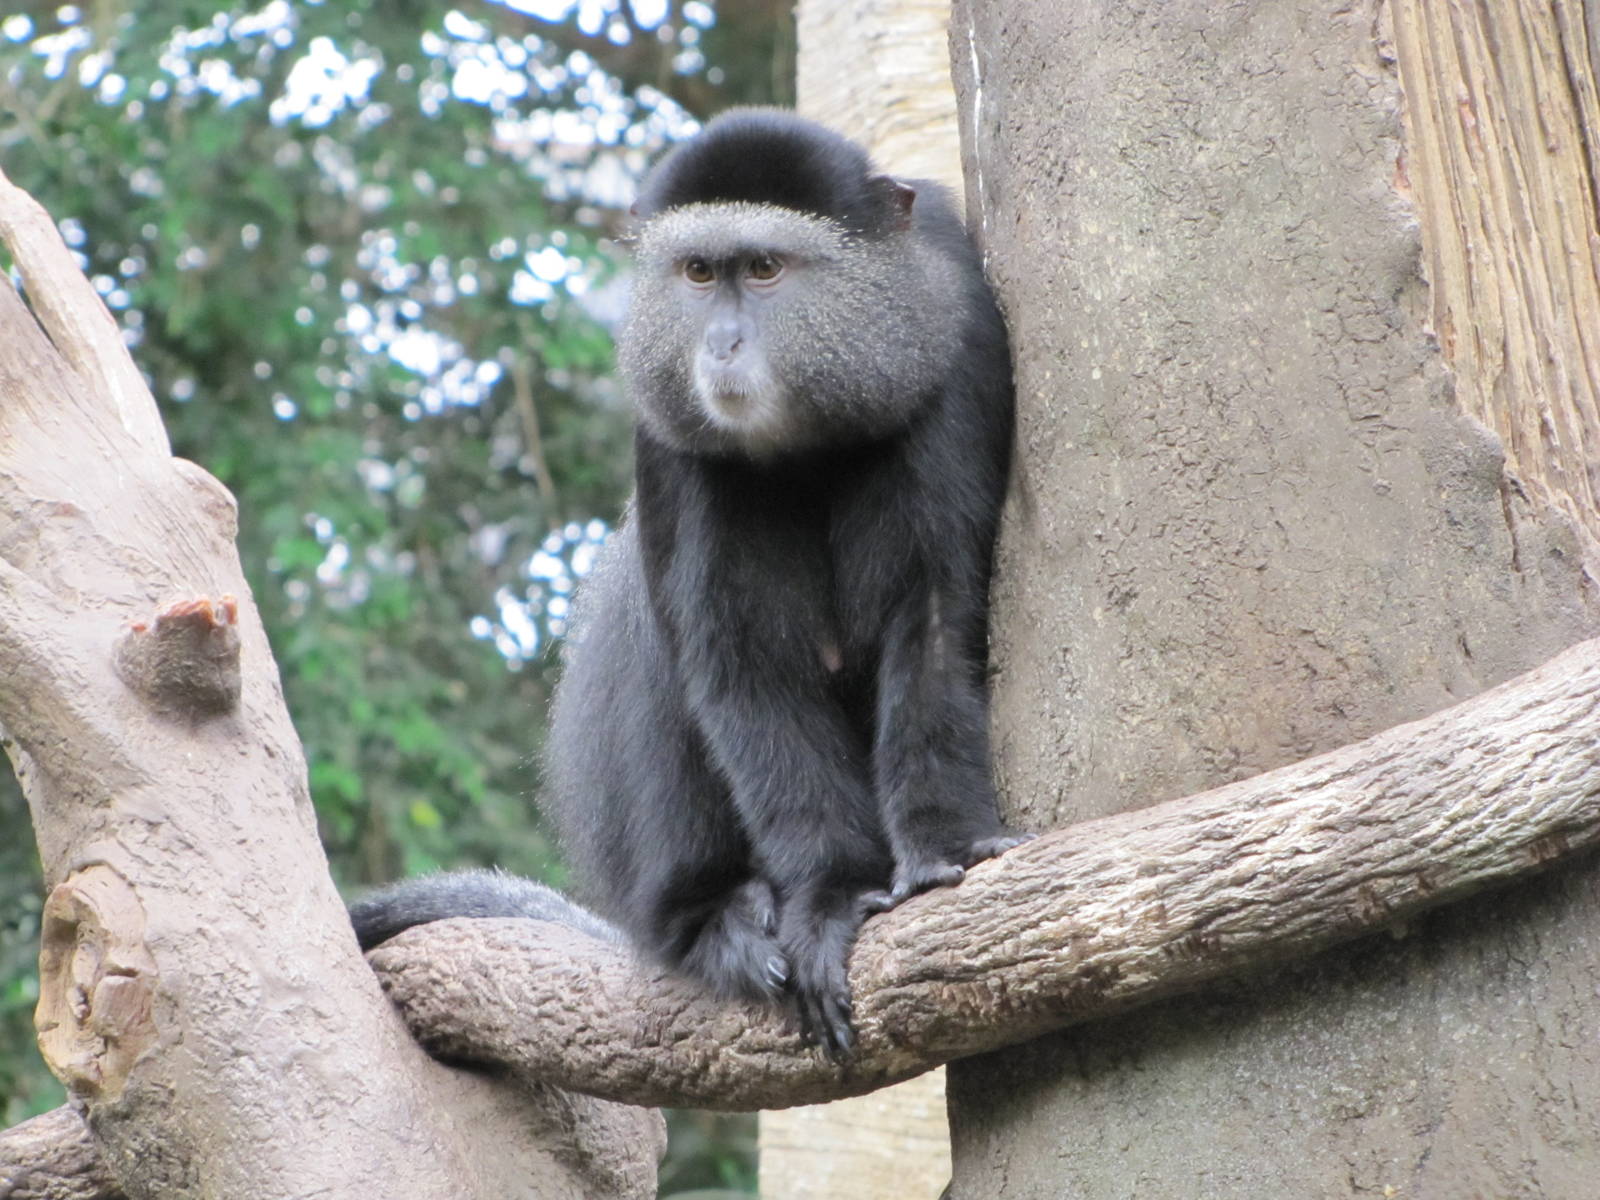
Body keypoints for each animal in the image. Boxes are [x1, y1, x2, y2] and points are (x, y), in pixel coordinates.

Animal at [351, 109, 1023, 1061]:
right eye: (700, 274)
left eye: (765, 269)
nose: (721, 344)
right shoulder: (666, 431)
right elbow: (735, 659)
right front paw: (828, 893)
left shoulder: (958, 352)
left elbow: (932, 618)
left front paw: (942, 851)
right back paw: (712, 916)